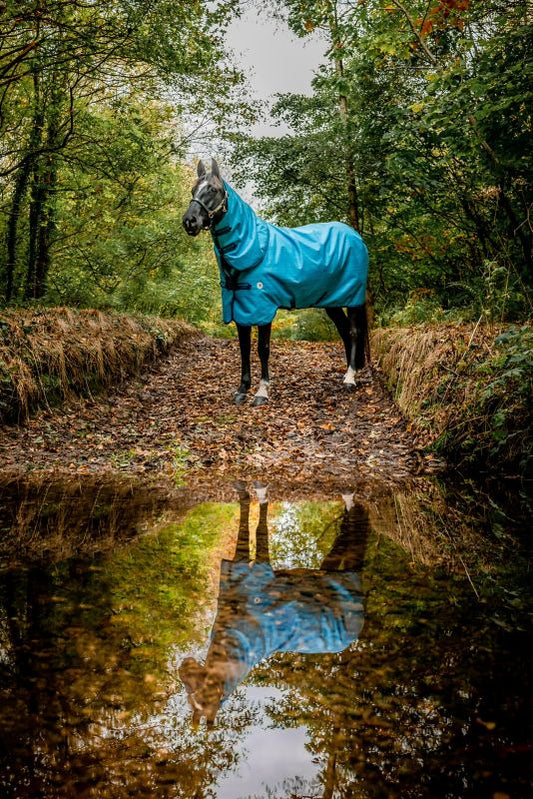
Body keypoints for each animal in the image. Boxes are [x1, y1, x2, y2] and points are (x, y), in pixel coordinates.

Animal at [181, 158, 368, 406]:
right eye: (194, 189)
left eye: (212, 189)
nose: (189, 221)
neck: (251, 247)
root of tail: (355, 235)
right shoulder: (241, 308)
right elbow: (244, 348)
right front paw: (242, 389)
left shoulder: (263, 307)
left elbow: (263, 348)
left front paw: (262, 392)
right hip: (332, 302)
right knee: (344, 331)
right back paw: (348, 372)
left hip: (353, 297)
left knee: (354, 332)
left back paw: (350, 378)